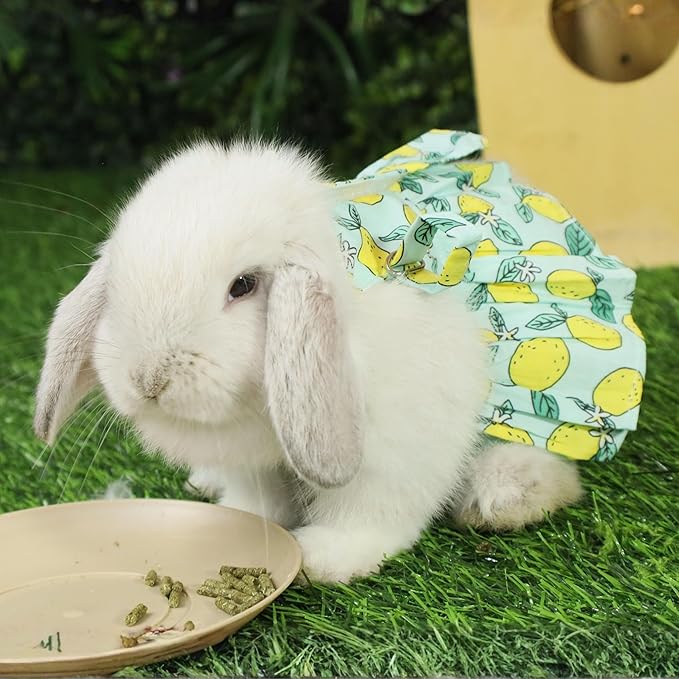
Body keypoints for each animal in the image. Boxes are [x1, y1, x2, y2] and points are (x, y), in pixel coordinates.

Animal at [34, 139, 582, 583]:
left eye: (243, 285)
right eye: (117, 285)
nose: (149, 378)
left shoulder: (397, 447)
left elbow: (371, 510)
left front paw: (325, 558)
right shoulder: (252, 463)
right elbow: (256, 500)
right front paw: (243, 522)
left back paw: (505, 497)